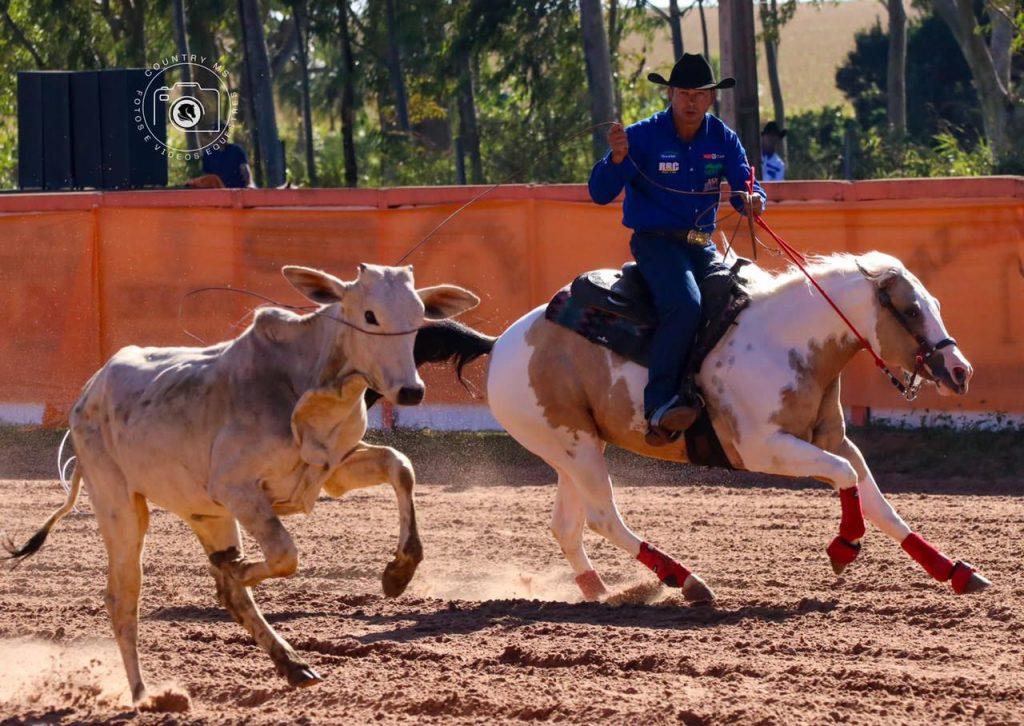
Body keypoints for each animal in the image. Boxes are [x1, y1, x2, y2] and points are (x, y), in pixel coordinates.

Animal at [483, 248, 987, 602]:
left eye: (933, 303)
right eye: (910, 310)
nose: (960, 372)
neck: (784, 342)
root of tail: (501, 343)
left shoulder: (835, 439)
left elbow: (878, 503)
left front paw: (954, 572)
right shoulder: (763, 448)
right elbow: (845, 478)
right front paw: (843, 546)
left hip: (573, 450)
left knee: (567, 526)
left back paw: (601, 591)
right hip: (576, 447)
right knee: (603, 518)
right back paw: (686, 581)